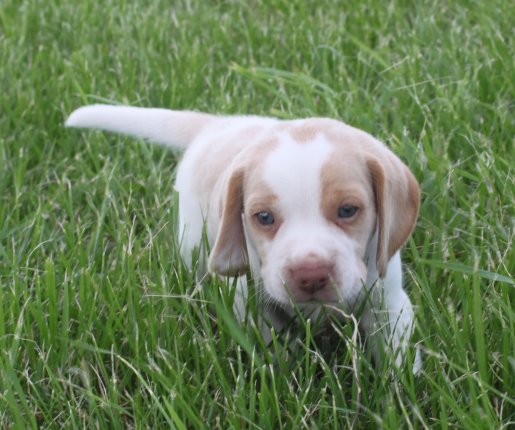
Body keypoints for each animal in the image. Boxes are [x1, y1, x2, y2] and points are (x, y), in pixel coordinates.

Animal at [66, 106, 422, 372]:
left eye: (348, 210)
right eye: (263, 217)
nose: (310, 275)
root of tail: (217, 124)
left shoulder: (390, 303)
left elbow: (396, 356)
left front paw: (397, 393)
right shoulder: (246, 300)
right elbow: (272, 342)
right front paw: (284, 369)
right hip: (192, 242)